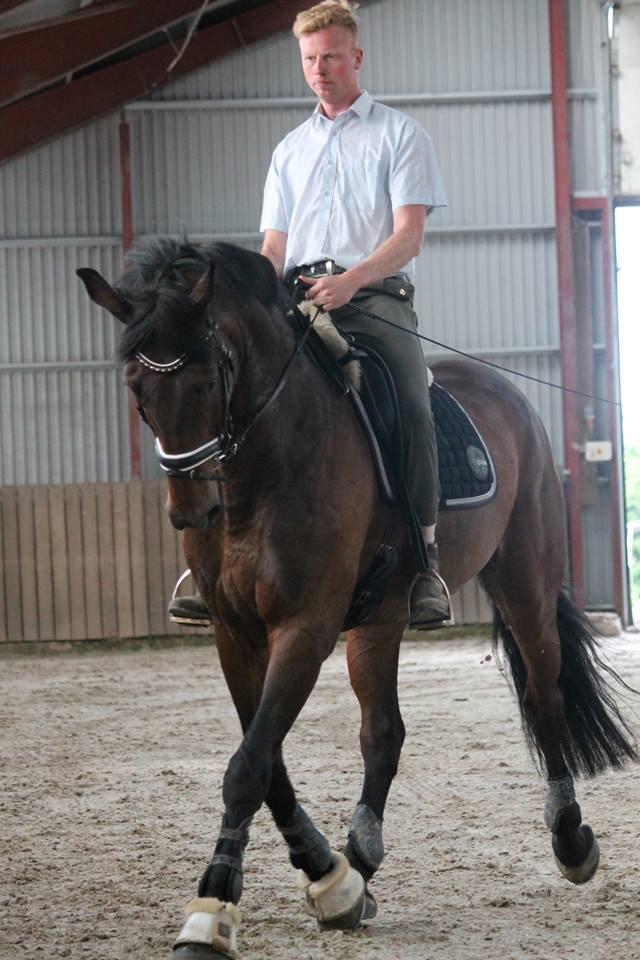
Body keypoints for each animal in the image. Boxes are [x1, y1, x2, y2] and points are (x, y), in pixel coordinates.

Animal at [77, 240, 636, 960]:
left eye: (206, 379)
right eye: (137, 390)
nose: (191, 512)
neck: (264, 470)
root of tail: (507, 394)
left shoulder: (306, 627)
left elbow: (248, 765)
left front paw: (211, 908)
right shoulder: (235, 633)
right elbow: (267, 760)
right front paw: (328, 875)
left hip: (525, 583)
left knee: (542, 699)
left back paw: (571, 840)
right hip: (380, 617)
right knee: (383, 732)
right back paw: (361, 860)